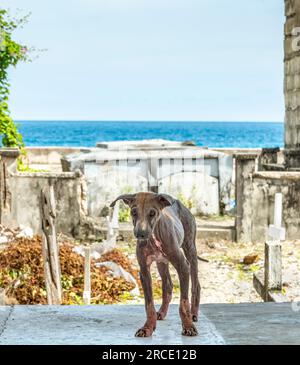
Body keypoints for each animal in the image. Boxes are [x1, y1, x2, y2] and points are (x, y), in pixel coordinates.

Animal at [109, 192, 199, 336]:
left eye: (152, 213)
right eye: (133, 212)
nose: (140, 234)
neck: (153, 237)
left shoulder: (183, 266)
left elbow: (184, 303)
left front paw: (188, 326)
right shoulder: (144, 271)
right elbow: (149, 304)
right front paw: (148, 327)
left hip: (190, 251)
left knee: (196, 286)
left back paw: (194, 314)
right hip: (161, 263)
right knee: (168, 286)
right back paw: (162, 312)